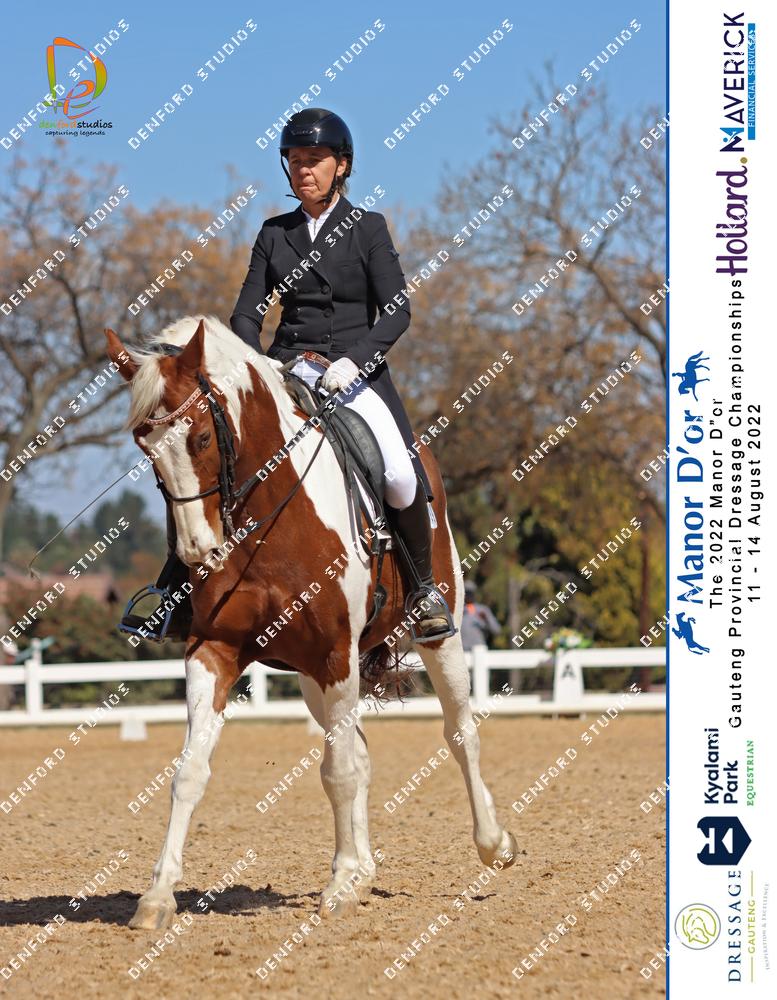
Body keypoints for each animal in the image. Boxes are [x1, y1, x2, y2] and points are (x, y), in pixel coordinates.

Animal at [105, 314, 517, 930]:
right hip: (306, 675)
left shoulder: (334, 654)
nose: (200, 551)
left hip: (434, 634)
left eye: (201, 438)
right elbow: (190, 772)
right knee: (361, 751)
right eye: (144, 447)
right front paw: (156, 897)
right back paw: (365, 871)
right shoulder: (214, 650)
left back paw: (492, 845)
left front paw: (340, 884)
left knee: (459, 732)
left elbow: (337, 772)